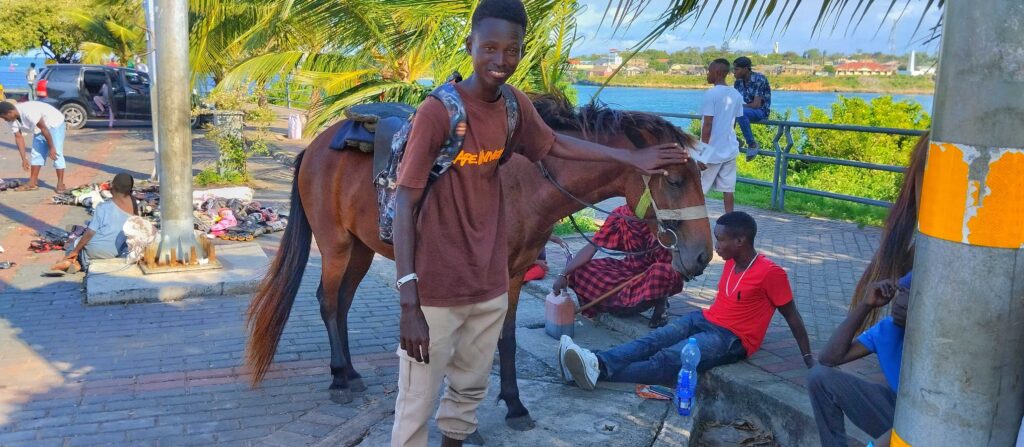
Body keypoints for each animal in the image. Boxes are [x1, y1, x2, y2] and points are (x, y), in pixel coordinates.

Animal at [246, 96, 712, 427]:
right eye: (674, 180)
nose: (704, 254)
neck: (523, 183)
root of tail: (315, 147)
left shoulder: (514, 273)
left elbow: (504, 339)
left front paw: (514, 405)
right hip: (337, 245)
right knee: (327, 302)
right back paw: (339, 377)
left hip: (361, 247)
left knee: (341, 304)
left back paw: (351, 373)